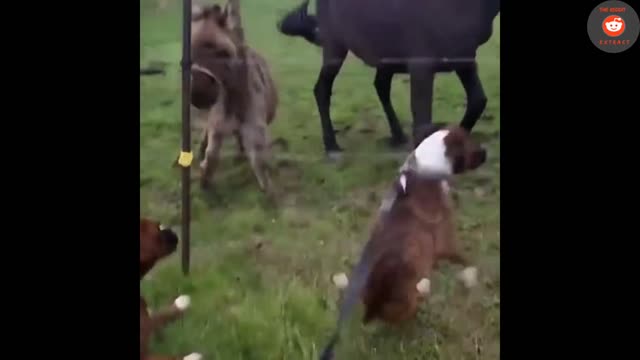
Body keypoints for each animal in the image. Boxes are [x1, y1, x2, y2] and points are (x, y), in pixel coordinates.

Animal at [141, 218, 201, 360]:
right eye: (157, 228)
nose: (172, 230)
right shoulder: (143, 353)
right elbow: (171, 357)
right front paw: (193, 356)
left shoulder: (148, 319)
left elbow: (160, 315)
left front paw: (180, 303)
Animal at [191, 1, 278, 193]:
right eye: (189, 51)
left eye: (223, 53)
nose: (198, 96)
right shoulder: (217, 126)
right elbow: (211, 155)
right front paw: (204, 181)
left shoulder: (254, 129)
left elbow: (259, 161)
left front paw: (268, 192)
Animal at [278, 0, 498, 158]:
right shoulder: (421, 65)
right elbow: (422, 123)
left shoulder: (464, 61)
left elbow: (477, 101)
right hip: (335, 47)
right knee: (322, 89)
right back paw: (332, 147)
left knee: (380, 86)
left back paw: (397, 136)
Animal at [318, 124, 488, 360]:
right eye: (471, 143)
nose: (486, 152)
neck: (425, 170)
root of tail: (375, 297)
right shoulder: (446, 242)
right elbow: (465, 259)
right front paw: (472, 273)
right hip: (406, 301)